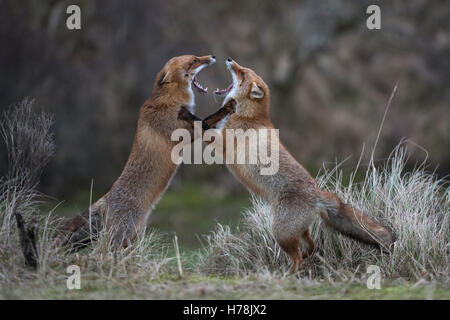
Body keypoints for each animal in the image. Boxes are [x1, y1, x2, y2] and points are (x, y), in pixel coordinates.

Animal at [58, 54, 216, 248]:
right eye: (194, 60)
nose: (212, 57)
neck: (171, 100)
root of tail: (108, 196)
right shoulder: (181, 133)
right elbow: (209, 120)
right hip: (121, 235)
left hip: (134, 236)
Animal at [193, 57, 394, 272]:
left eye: (242, 73)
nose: (229, 59)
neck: (250, 116)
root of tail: (317, 195)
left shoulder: (223, 144)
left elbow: (204, 129)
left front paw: (192, 119)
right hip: (297, 232)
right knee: (311, 246)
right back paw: (304, 260)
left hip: (280, 232)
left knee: (297, 257)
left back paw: (286, 275)